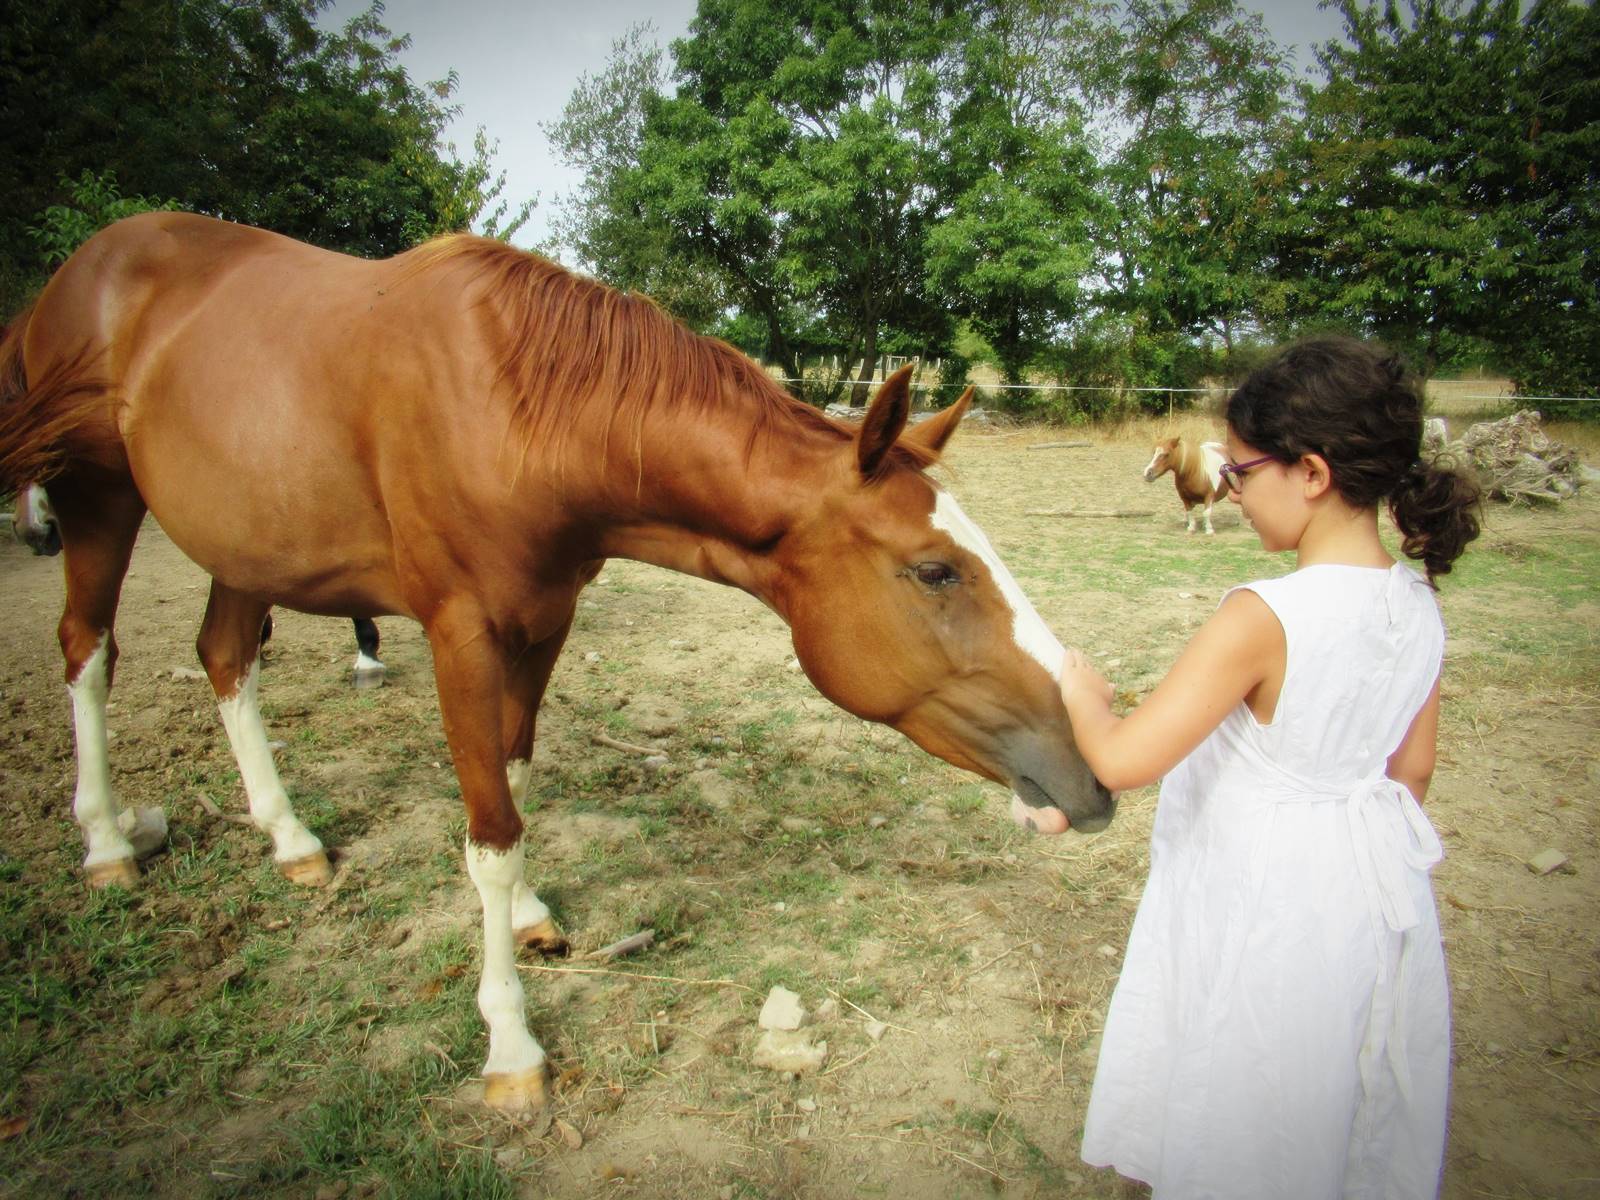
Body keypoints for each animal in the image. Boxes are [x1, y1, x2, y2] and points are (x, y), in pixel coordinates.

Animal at [0, 214, 1113, 1120]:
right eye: (933, 570)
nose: (1091, 778)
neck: (516, 408)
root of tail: (81, 270)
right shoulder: (459, 634)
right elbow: (489, 833)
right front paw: (509, 1044)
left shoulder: (545, 622)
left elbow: (518, 779)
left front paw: (531, 915)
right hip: (99, 497)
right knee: (87, 653)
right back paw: (106, 841)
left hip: (248, 540)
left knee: (226, 661)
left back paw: (290, 839)